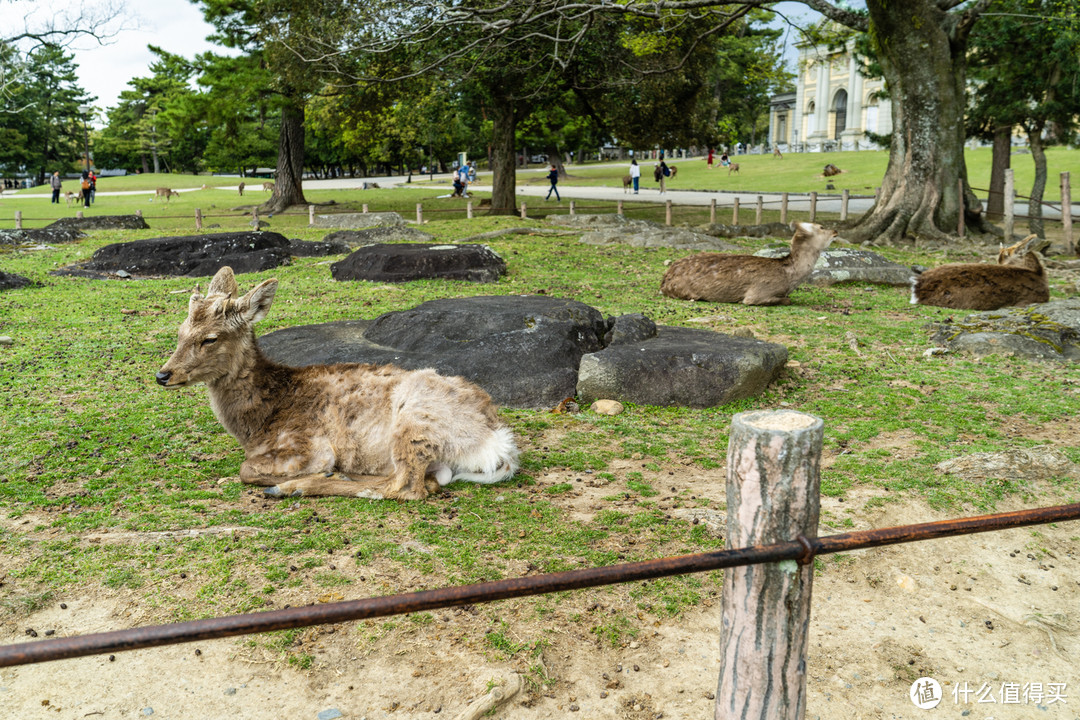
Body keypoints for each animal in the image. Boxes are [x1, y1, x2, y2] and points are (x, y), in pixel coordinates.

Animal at [155, 266, 518, 500]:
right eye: (180, 331)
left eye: (210, 338)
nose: (163, 375)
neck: (257, 425)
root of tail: (498, 443)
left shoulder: (310, 446)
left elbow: (247, 469)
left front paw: (300, 477)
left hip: (416, 422)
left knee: (407, 488)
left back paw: (294, 487)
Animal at [656, 223, 842, 306]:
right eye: (821, 227)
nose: (835, 231)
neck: (788, 279)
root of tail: (665, 280)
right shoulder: (758, 293)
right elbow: (786, 300)